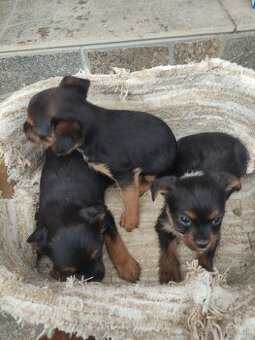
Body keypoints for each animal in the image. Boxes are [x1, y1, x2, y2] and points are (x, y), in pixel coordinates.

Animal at [22, 75, 176, 231]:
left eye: (32, 126)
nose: (23, 127)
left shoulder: (124, 173)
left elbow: (129, 197)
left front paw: (130, 220)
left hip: (155, 164)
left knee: (151, 178)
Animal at [27, 148, 141, 282]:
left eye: (98, 253)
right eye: (71, 271)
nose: (97, 278)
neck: (64, 209)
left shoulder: (105, 215)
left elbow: (115, 242)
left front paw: (128, 268)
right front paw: (57, 273)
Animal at [151, 133, 249, 284]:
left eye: (217, 219)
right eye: (184, 219)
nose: (202, 244)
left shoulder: (214, 235)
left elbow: (207, 252)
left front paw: (203, 272)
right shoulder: (164, 223)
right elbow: (168, 250)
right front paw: (169, 276)